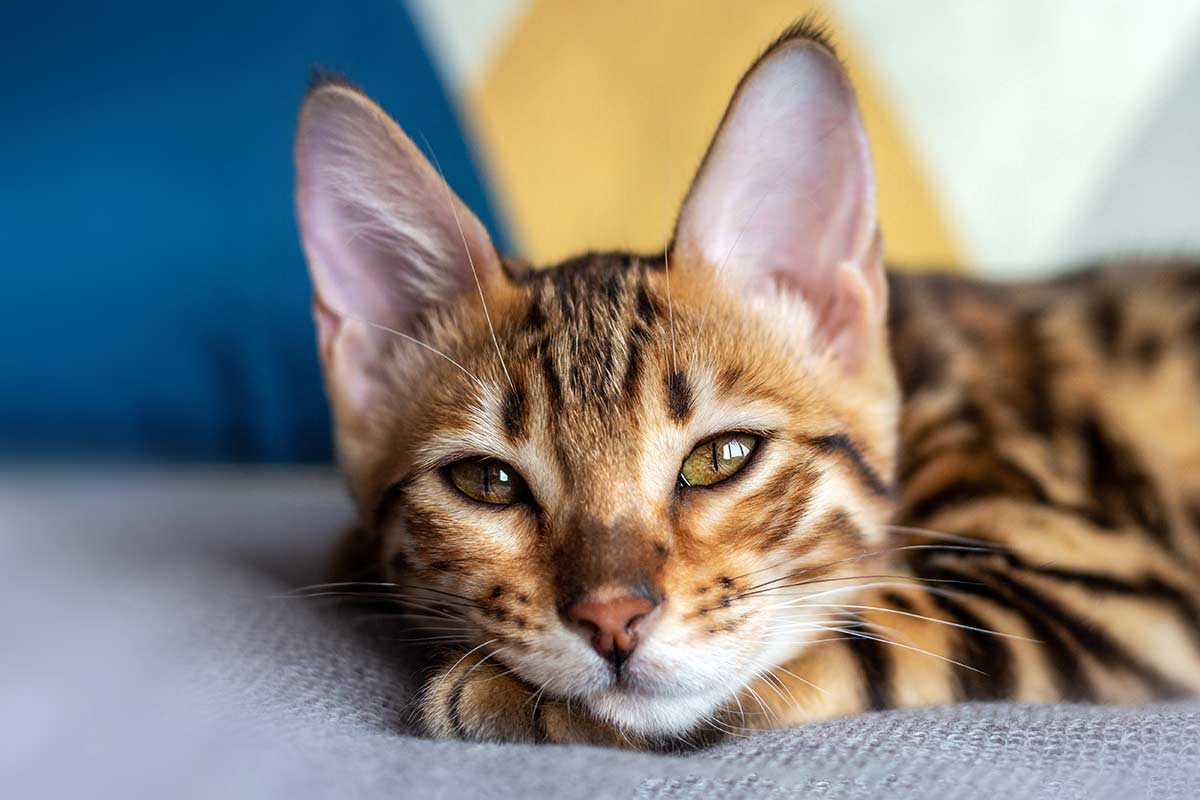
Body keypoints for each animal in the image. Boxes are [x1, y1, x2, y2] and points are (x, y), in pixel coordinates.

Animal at [290, 21, 1200, 748]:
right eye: (488, 481)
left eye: (721, 457)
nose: (611, 619)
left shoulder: (1105, 583)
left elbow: (867, 633)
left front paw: (499, 694)